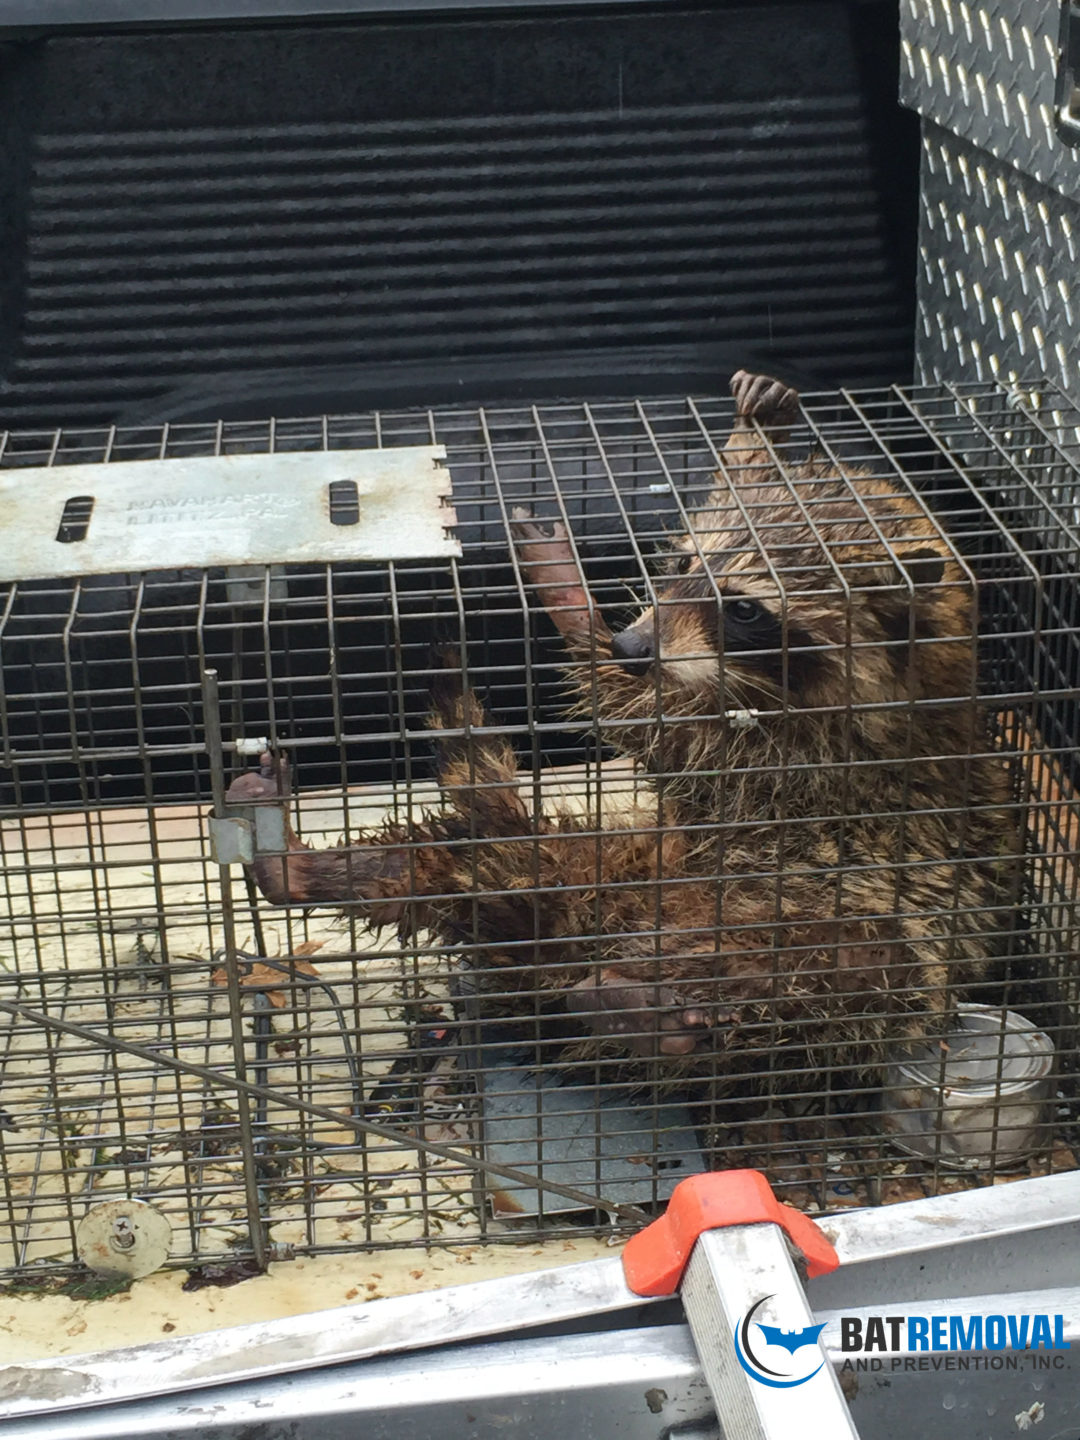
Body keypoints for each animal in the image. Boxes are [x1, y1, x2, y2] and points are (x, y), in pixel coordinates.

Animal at [227, 372, 1021, 1079]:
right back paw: (297, 865)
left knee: (844, 965)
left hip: (842, 927)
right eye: (681, 562)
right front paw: (758, 432)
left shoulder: (809, 756)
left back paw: (638, 1008)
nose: (634, 647)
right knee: (438, 868)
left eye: (744, 607)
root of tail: (582, 941)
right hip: (602, 856)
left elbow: (642, 721)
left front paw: (586, 624)